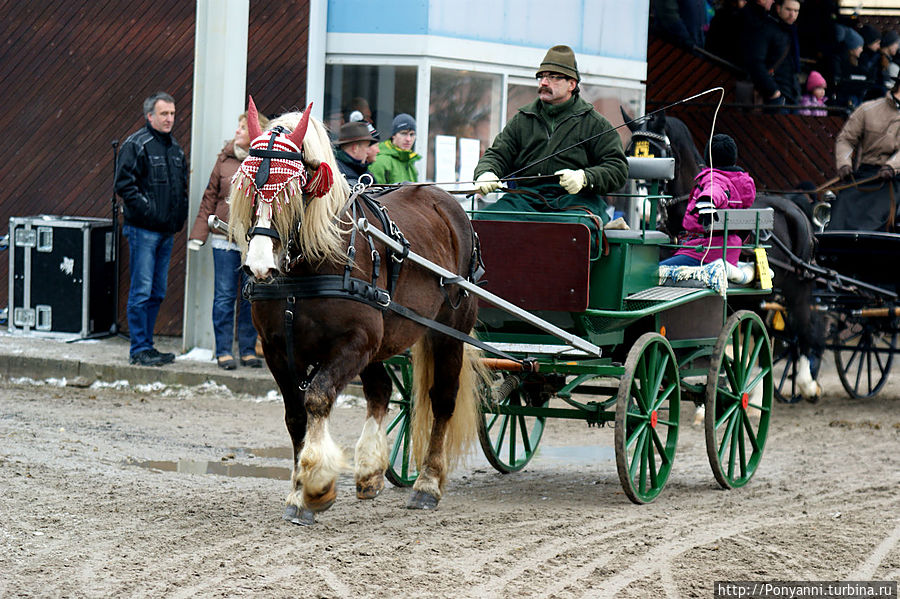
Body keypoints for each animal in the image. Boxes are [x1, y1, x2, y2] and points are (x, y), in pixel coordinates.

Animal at [230, 98, 486, 524]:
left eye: (291, 190)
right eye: (248, 188)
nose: (259, 266)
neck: (309, 266)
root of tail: (446, 200)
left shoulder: (356, 341)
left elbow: (317, 398)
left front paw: (316, 487)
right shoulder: (278, 350)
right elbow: (296, 415)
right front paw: (299, 490)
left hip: (448, 329)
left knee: (442, 398)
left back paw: (428, 484)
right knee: (381, 389)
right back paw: (369, 472)